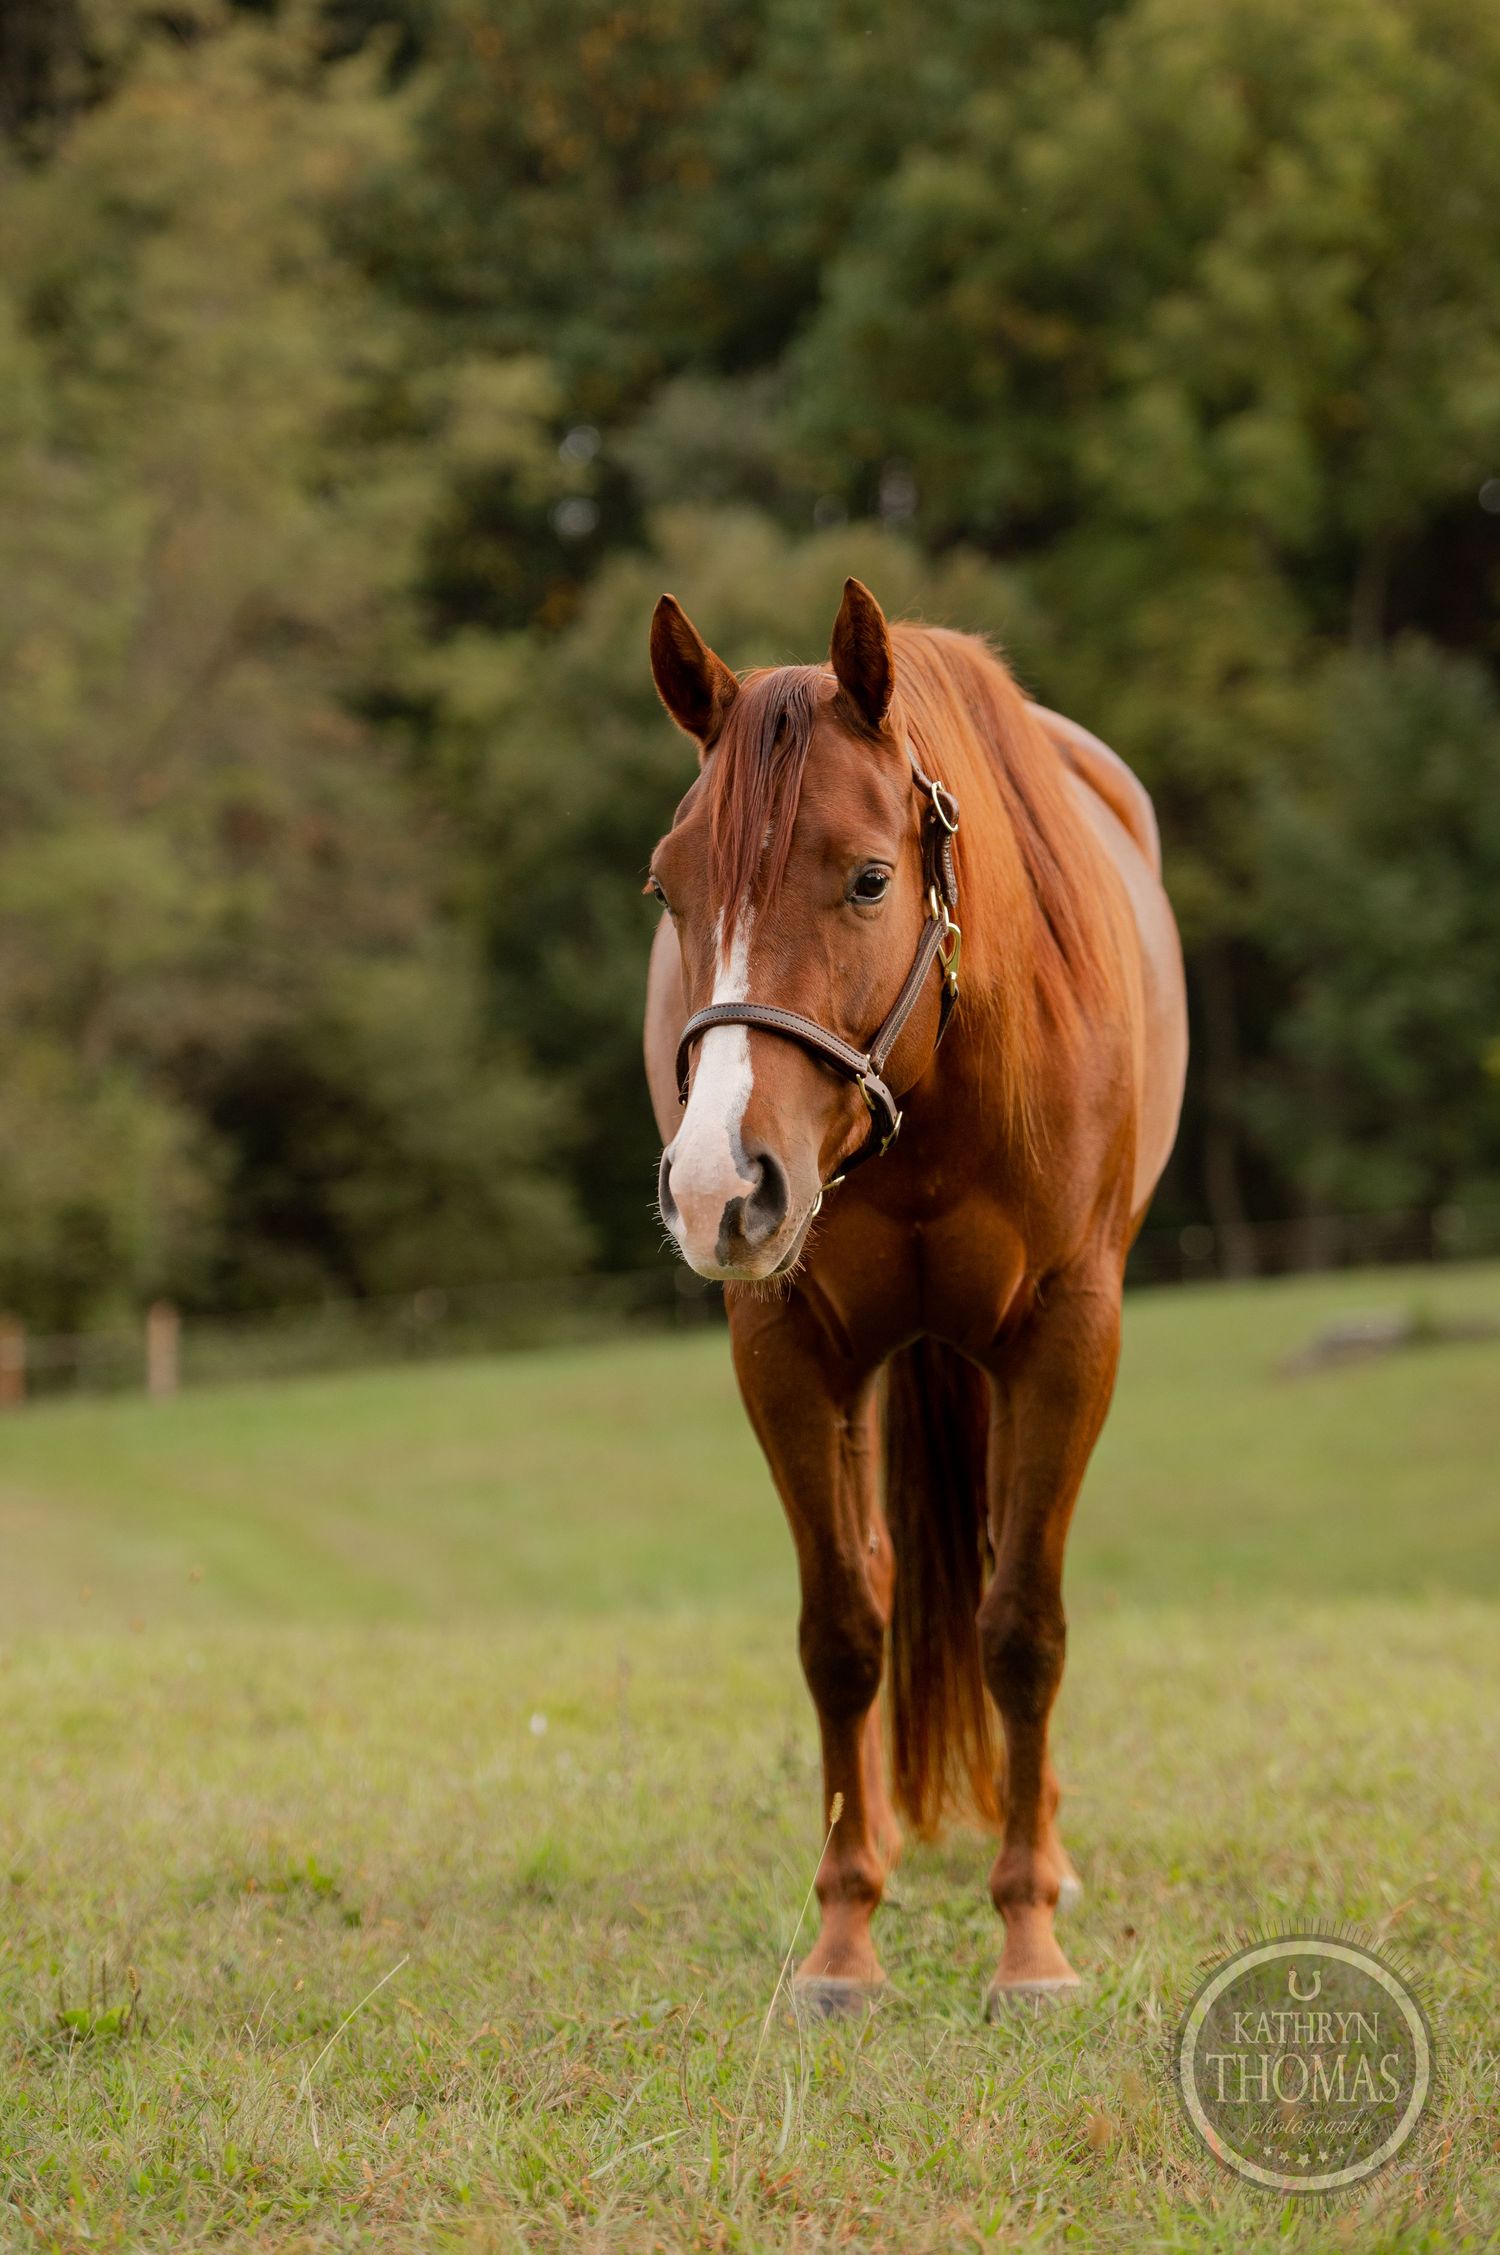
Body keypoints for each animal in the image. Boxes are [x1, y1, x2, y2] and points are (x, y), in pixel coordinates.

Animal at [642, 578, 1187, 2013]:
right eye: (670, 887)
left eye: (870, 877)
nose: (717, 1186)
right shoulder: (788, 1349)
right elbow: (842, 1628)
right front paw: (844, 1940)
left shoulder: (1067, 1338)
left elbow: (1024, 1627)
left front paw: (1030, 1944)